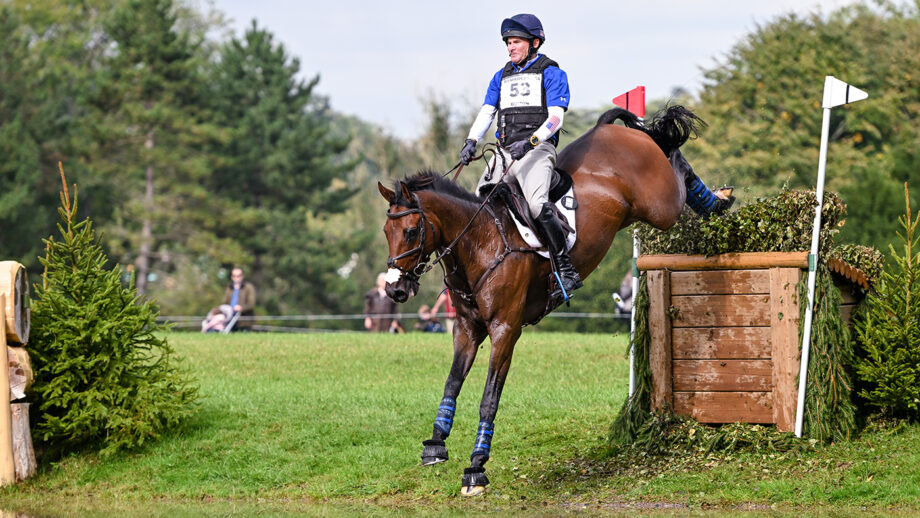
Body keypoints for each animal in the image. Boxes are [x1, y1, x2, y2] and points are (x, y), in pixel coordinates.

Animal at [380, 104, 704, 496]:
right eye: (386, 232)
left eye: (412, 230)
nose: (394, 290)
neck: (481, 242)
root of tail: (607, 131)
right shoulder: (467, 328)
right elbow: (452, 383)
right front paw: (435, 444)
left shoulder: (505, 329)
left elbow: (489, 398)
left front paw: (476, 466)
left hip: (660, 206)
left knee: (676, 164)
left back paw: (718, 198)